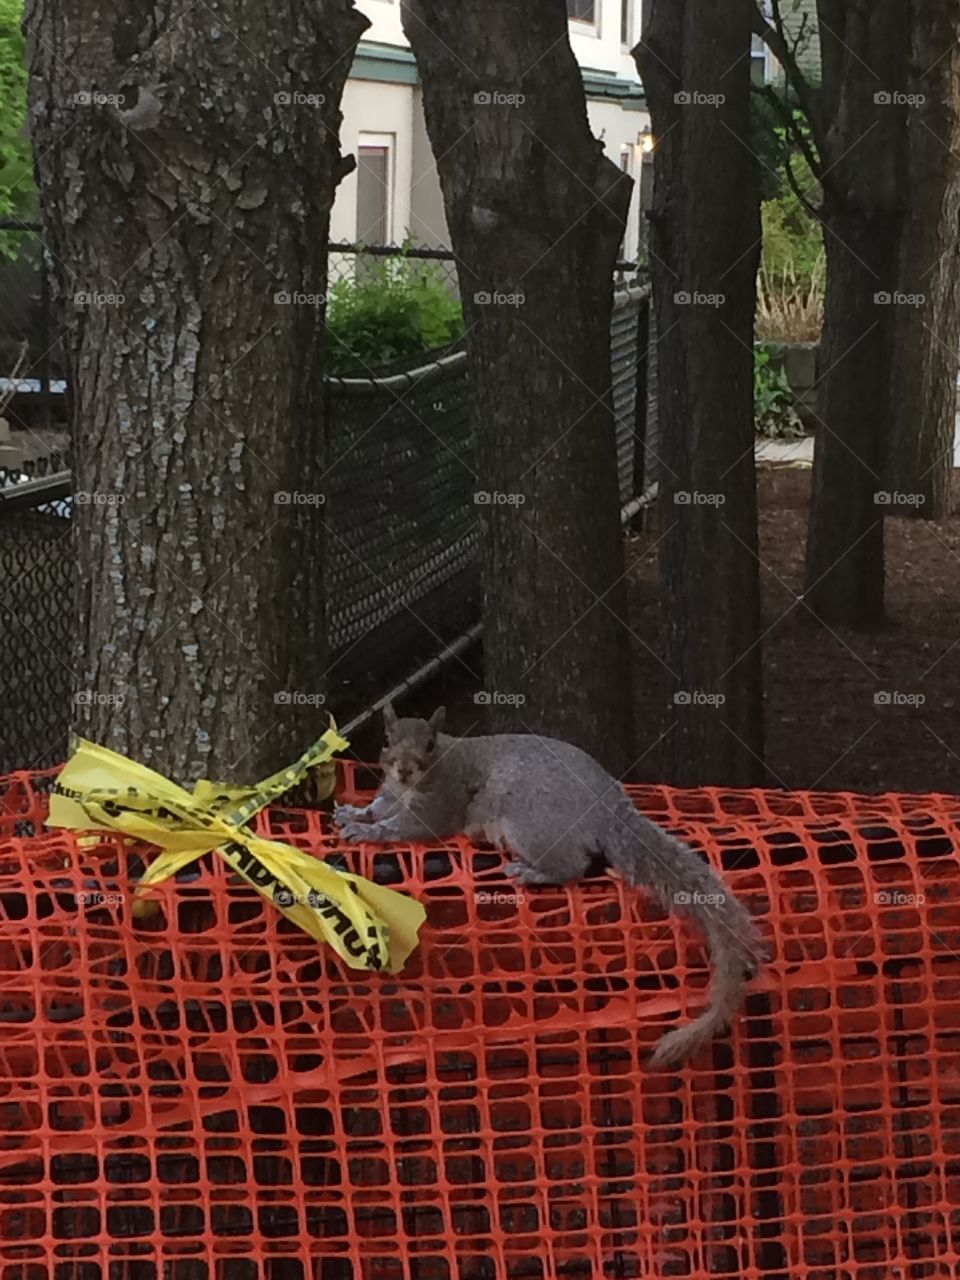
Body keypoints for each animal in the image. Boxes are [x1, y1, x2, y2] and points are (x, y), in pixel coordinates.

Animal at [334, 703, 764, 1068]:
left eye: (429, 744)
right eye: (386, 739)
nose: (404, 770)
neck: (428, 775)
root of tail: (606, 809)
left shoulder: (438, 807)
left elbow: (402, 828)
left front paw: (366, 831)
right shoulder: (392, 795)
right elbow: (379, 807)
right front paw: (355, 813)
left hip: (531, 828)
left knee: (572, 865)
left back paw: (532, 873)